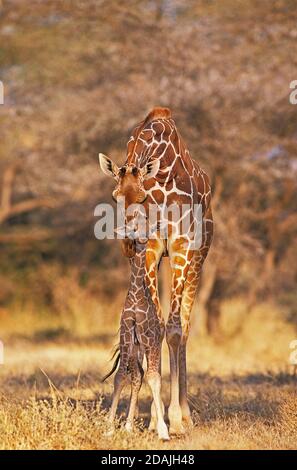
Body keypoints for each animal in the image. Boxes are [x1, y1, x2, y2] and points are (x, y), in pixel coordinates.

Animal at [104, 239, 169, 440]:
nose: (131, 244)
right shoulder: (130, 338)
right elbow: (122, 377)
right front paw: (109, 427)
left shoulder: (147, 340)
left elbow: (151, 377)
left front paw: (162, 429)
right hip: (137, 349)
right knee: (137, 376)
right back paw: (128, 426)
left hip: (145, 346)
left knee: (142, 375)